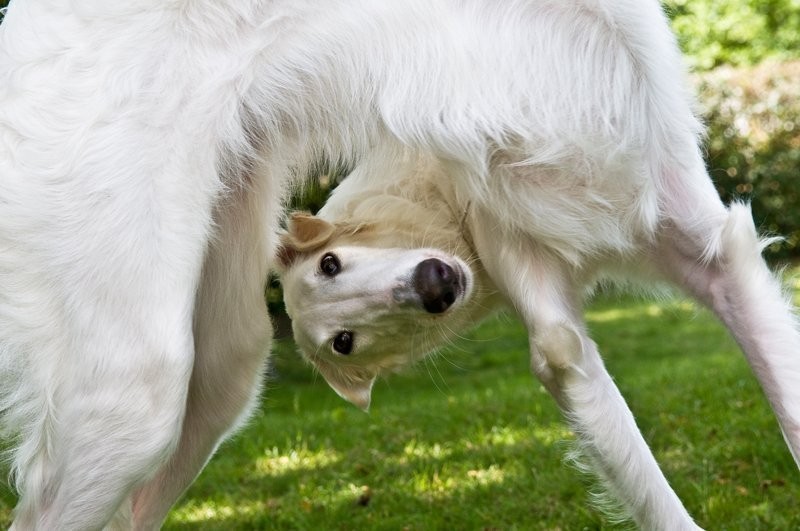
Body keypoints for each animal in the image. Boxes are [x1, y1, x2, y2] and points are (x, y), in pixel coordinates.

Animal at [0, 0, 796, 528]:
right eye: (344, 340)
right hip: (137, 384)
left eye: (331, 263)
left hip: (223, 366)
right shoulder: (550, 324)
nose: (433, 284)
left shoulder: (711, 249)